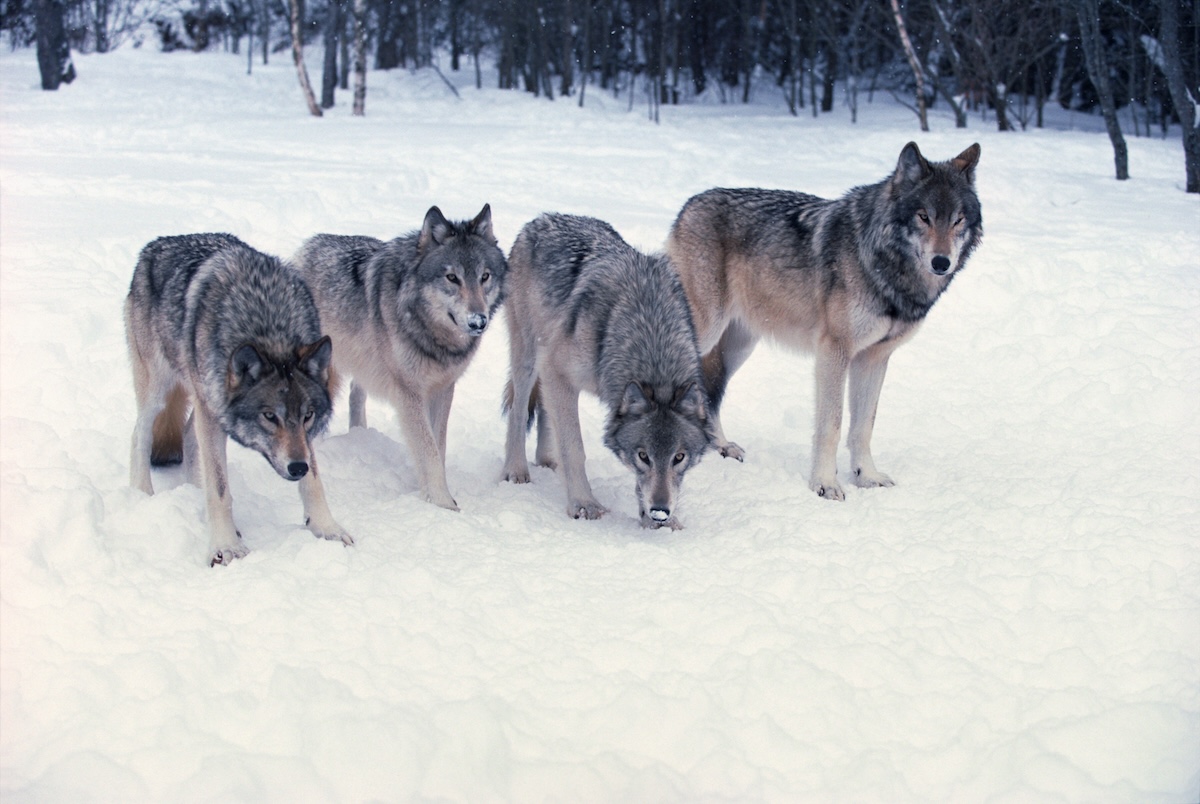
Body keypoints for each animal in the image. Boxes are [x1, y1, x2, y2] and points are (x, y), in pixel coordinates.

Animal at [126, 233, 352, 567]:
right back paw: (142, 494)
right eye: (270, 416)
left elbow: (314, 482)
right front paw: (226, 546)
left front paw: (327, 529)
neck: (268, 327)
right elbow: (220, 490)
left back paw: (195, 492)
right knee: (139, 434)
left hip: (205, 399)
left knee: (189, 437)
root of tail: (155, 244)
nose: (297, 467)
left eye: (308, 415)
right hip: (160, 390)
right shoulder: (211, 410)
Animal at [293, 205, 507, 511]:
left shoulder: (443, 388)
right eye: (452, 278)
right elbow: (428, 450)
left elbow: (438, 446)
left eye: (485, 276)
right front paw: (444, 505)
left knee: (356, 396)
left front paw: (431, 497)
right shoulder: (409, 393)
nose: (478, 321)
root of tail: (304, 248)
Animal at [501, 213, 716, 529]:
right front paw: (583, 504)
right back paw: (516, 470)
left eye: (679, 457)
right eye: (643, 456)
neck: (649, 327)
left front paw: (655, 521)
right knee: (518, 410)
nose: (660, 511)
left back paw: (548, 462)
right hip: (528, 357)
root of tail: (541, 218)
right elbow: (574, 448)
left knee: (544, 412)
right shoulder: (556, 369)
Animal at [667, 142, 982, 501]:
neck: (881, 263)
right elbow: (831, 425)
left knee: (709, 389)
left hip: (739, 346)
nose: (941, 262)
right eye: (924, 216)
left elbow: (863, 427)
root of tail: (689, 205)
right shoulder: (834, 352)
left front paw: (866, 476)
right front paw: (825, 484)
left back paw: (720, 446)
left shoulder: (873, 359)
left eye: (958, 220)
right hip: (706, 330)